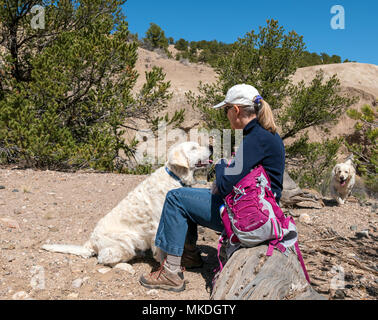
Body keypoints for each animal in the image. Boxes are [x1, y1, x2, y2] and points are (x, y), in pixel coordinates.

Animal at [42, 141, 213, 266]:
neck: (175, 177)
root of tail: (91, 241)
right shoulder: (159, 223)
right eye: (193, 148)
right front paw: (162, 263)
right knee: (104, 258)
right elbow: (161, 249)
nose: (211, 146)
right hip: (125, 241)